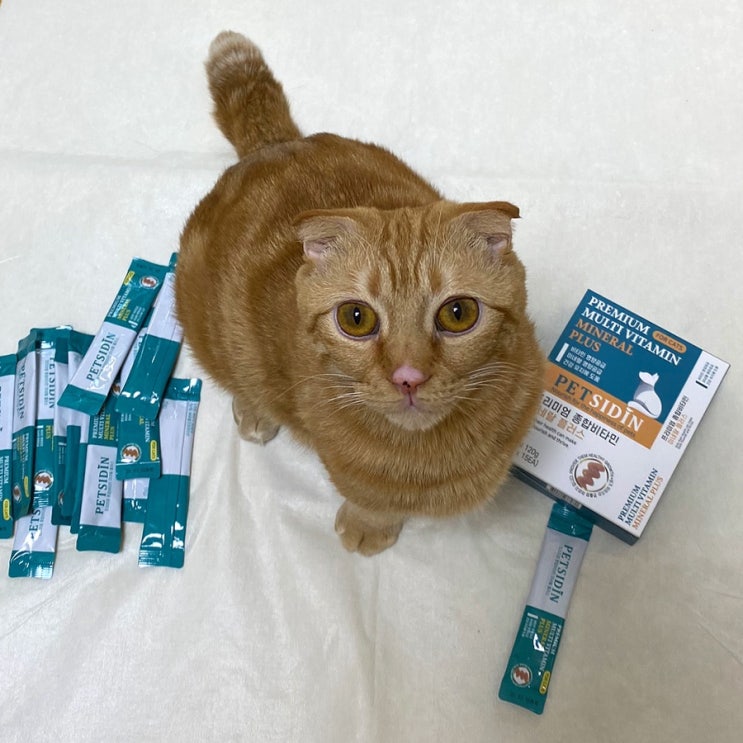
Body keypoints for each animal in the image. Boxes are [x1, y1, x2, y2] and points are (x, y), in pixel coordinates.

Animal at [175, 31, 545, 556]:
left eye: (458, 313)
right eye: (356, 318)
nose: (408, 377)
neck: (431, 459)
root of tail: (276, 144)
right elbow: (370, 500)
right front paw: (369, 525)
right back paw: (253, 411)